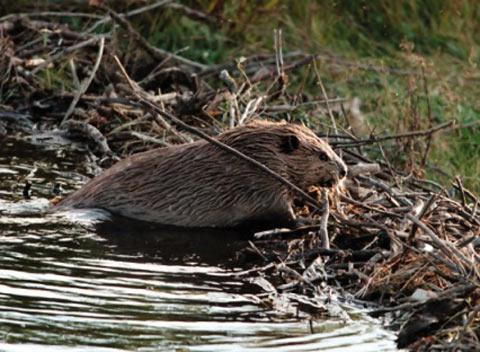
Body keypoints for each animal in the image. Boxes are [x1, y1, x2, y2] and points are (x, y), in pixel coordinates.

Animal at [56, 119, 346, 230]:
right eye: (322, 155)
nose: (343, 171)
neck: (256, 154)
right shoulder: (260, 184)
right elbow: (282, 214)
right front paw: (312, 219)